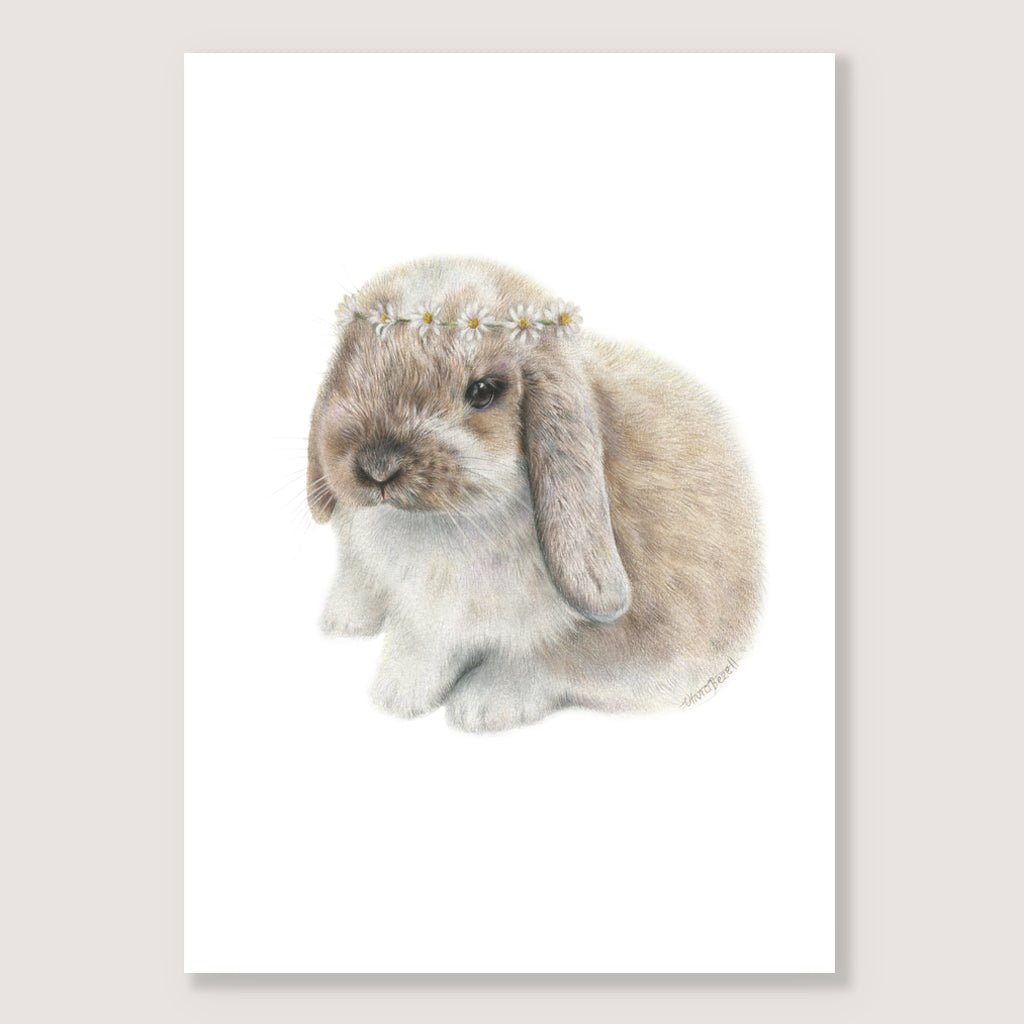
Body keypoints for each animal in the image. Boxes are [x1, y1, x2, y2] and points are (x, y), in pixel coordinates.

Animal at [307, 256, 763, 732]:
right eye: (354, 369)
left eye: (483, 391)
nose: (377, 467)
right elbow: (419, 640)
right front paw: (395, 688)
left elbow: (549, 660)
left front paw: (475, 705)